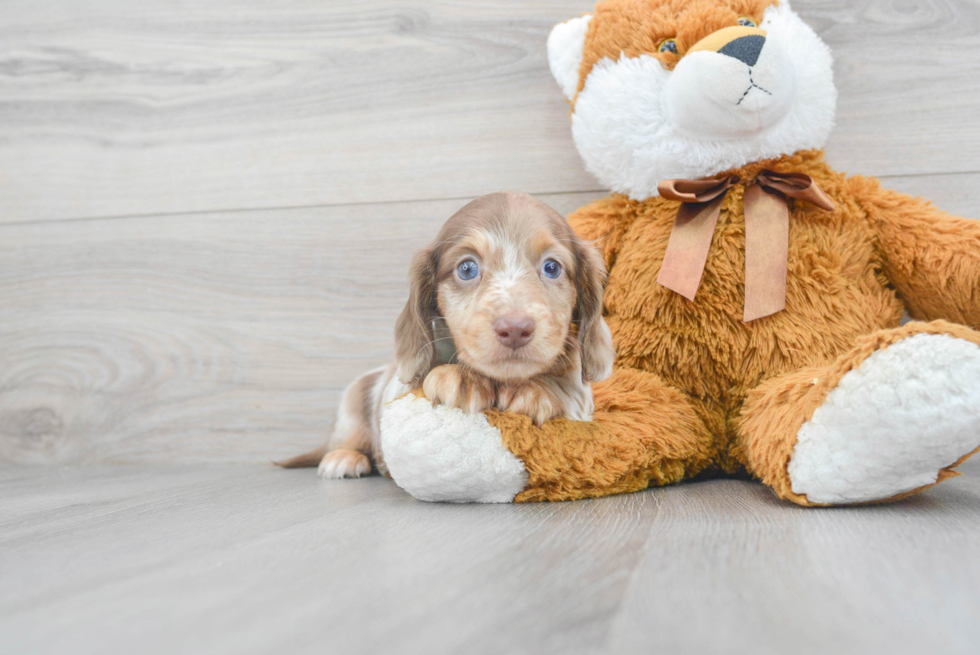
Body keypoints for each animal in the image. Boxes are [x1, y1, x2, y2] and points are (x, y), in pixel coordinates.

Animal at [278, 192, 612, 480]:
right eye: (467, 269)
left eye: (552, 267)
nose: (515, 328)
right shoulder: (398, 391)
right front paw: (460, 376)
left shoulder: (583, 400)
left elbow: (569, 393)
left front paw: (539, 390)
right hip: (351, 406)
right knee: (348, 439)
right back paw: (344, 458)